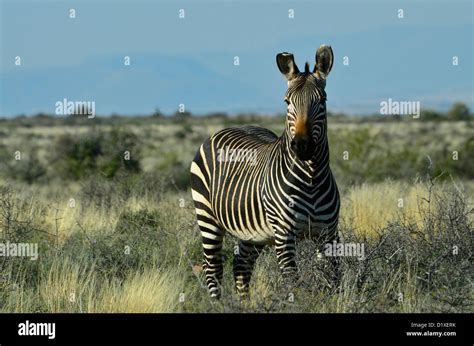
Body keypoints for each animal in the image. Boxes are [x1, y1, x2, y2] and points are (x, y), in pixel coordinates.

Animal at [191, 44, 338, 298]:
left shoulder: (328, 235)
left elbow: (333, 281)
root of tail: (226, 128)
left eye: (322, 100)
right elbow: (292, 283)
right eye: (287, 102)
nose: (302, 146)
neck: (311, 178)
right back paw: (218, 303)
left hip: (251, 233)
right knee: (213, 269)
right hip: (207, 216)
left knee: (241, 265)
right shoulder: (284, 235)